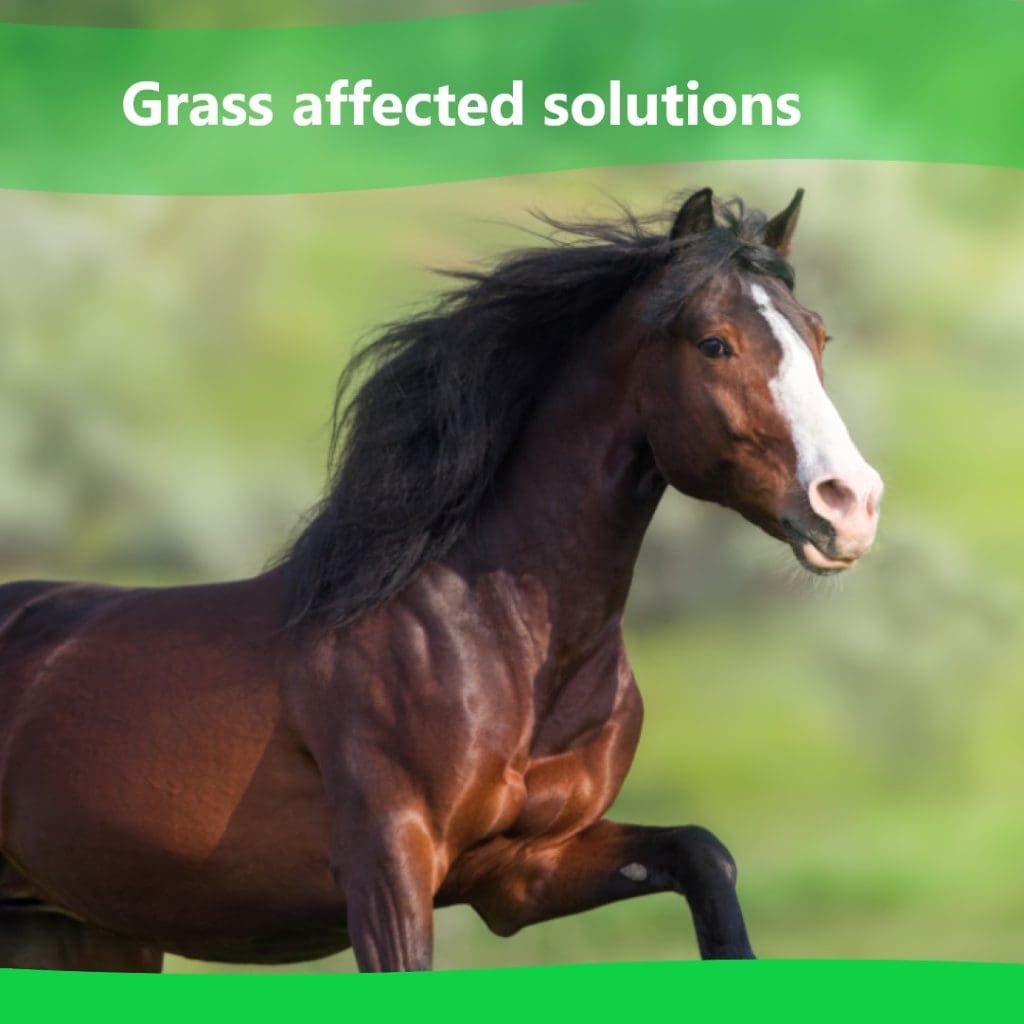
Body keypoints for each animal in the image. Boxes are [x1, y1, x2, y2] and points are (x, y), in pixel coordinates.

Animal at [0, 187, 883, 972]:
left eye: (820, 335)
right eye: (714, 342)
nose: (850, 504)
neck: (497, 639)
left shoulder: (523, 868)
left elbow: (706, 857)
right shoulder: (390, 869)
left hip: (84, 935)